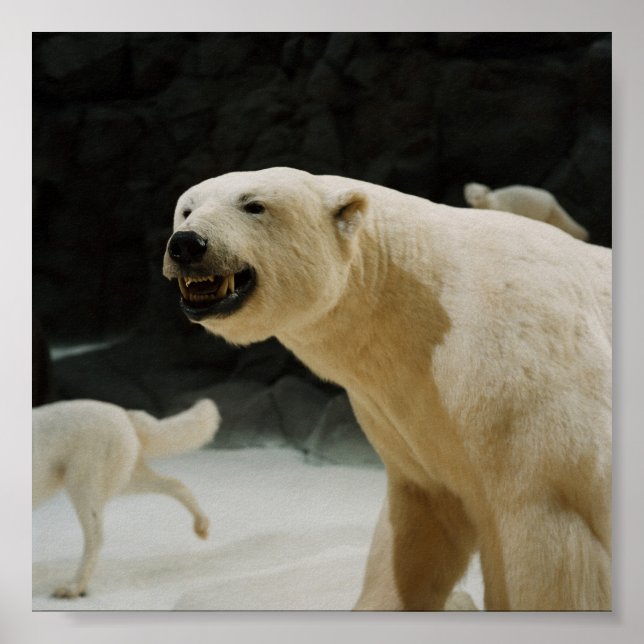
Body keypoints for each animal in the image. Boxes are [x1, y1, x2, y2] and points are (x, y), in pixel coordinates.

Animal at [163, 167, 611, 611]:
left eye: (253, 205)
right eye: (187, 209)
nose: (187, 244)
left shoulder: (525, 394)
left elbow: (549, 555)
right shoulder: (407, 414)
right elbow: (415, 534)